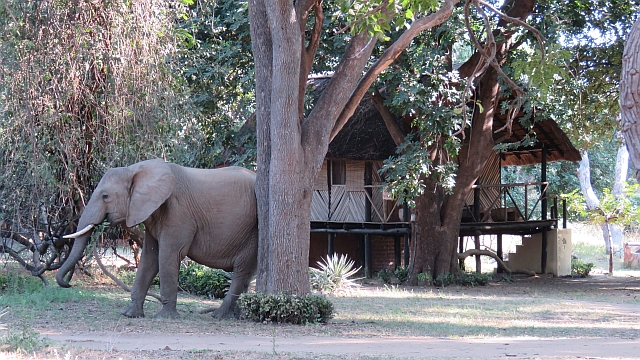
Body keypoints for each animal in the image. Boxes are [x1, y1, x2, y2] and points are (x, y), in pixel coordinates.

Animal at [57, 159, 258, 320]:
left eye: (105, 196)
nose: (68, 283)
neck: (135, 170)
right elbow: (149, 258)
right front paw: (129, 314)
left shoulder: (177, 212)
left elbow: (168, 256)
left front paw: (164, 317)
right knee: (246, 275)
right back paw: (235, 316)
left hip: (251, 230)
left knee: (241, 271)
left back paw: (219, 316)